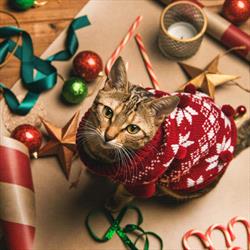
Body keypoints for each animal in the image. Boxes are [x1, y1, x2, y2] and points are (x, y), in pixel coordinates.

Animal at [76, 56, 250, 211]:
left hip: (184, 186)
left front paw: (114, 204)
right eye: (108, 112)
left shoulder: (141, 183)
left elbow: (124, 193)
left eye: (133, 129)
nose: (108, 136)